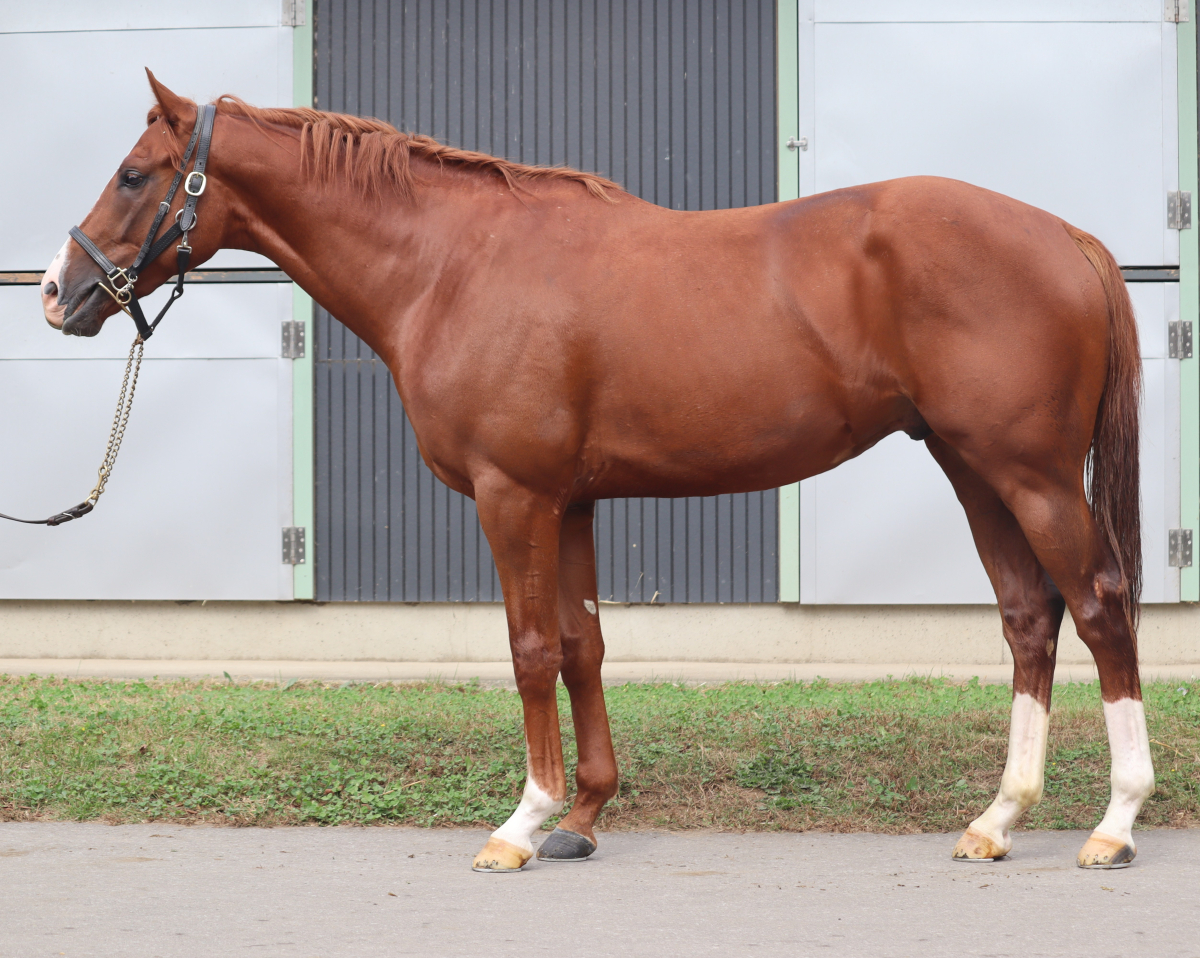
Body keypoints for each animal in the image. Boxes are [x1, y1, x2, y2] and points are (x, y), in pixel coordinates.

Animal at [42, 71, 1153, 872]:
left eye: (134, 173)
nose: (57, 292)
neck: (452, 263)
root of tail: (1066, 234)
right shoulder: (569, 501)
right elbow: (585, 646)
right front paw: (580, 812)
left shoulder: (513, 496)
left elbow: (531, 648)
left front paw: (521, 823)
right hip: (975, 468)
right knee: (1029, 616)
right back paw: (998, 820)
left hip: (1030, 472)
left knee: (1099, 604)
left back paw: (1114, 823)